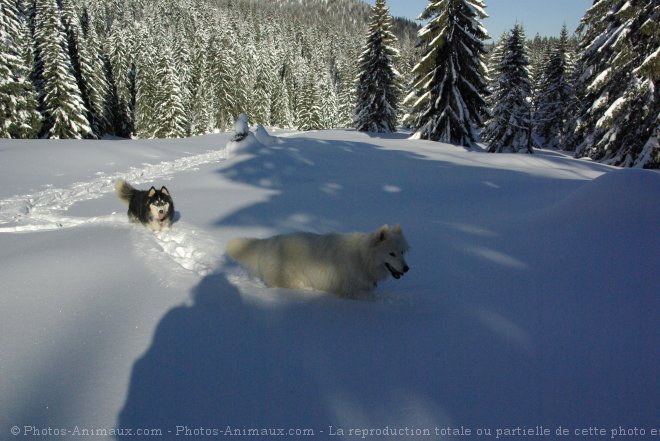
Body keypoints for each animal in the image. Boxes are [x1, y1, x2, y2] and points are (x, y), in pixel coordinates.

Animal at [227, 223, 408, 296]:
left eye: (402, 252)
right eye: (391, 254)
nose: (407, 269)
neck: (362, 257)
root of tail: (269, 242)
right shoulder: (352, 291)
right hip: (292, 281)